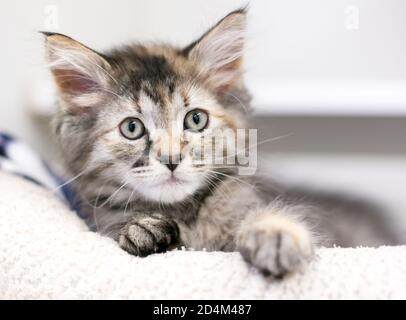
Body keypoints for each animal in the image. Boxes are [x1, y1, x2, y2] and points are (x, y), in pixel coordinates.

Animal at [43, 8, 396, 276]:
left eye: (196, 120)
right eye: (132, 128)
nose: (171, 160)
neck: (186, 215)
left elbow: (267, 218)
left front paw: (275, 235)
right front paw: (140, 229)